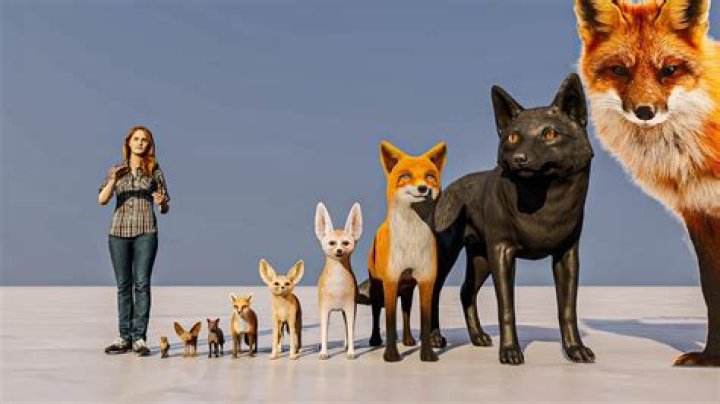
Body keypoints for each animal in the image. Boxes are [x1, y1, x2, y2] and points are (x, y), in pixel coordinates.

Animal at [366, 141, 447, 362]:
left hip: (408, 287)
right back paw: (375, 340)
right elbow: (389, 320)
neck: (412, 240)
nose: (423, 188)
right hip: (378, 286)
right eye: (405, 176)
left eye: (429, 176)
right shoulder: (391, 280)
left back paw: (408, 339)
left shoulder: (426, 280)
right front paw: (391, 356)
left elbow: (424, 320)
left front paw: (428, 355)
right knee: (377, 312)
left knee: (406, 312)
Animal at [574, 0, 720, 366]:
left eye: (668, 70)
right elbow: (712, 289)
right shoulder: (699, 211)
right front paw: (712, 357)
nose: (644, 111)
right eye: (619, 70)